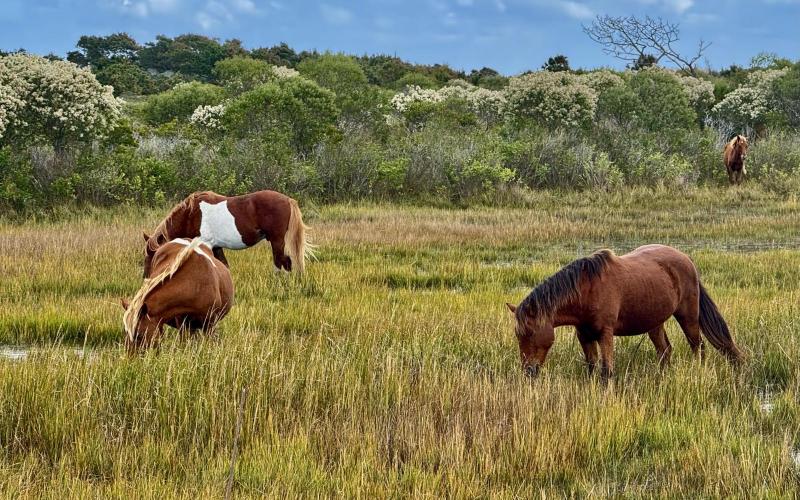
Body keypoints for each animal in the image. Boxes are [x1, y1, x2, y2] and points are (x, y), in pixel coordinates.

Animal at [142, 190, 312, 278]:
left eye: (152, 256)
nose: (146, 277)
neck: (190, 214)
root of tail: (288, 199)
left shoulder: (205, 244)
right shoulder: (216, 246)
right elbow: (224, 265)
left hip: (276, 240)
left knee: (282, 262)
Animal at [506, 244, 743, 380]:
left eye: (529, 333)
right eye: (518, 335)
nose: (528, 372)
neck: (586, 290)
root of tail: (686, 259)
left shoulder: (605, 333)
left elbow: (606, 371)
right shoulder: (584, 335)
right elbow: (591, 368)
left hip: (688, 317)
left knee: (698, 347)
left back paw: (697, 372)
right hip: (655, 323)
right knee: (665, 350)